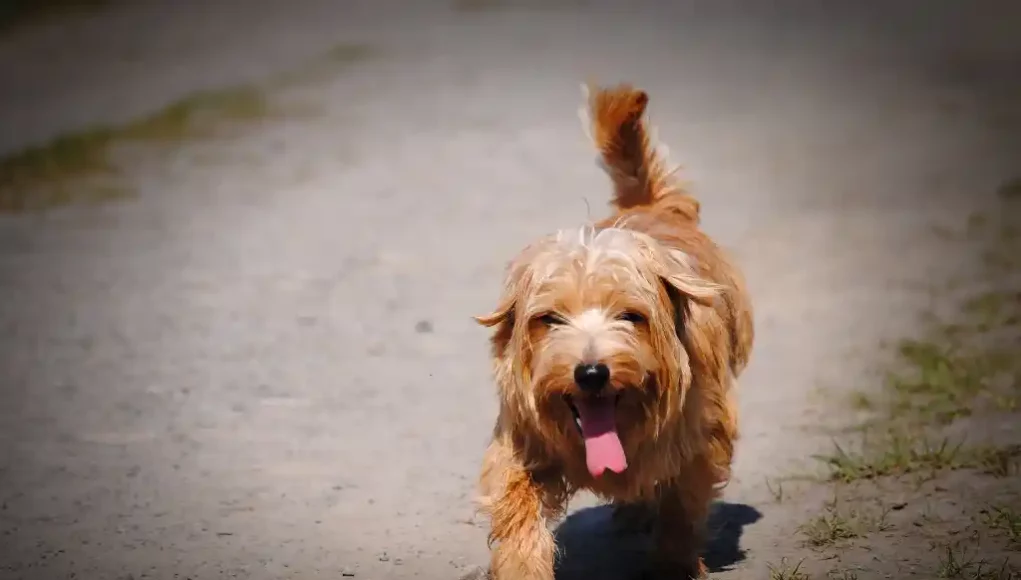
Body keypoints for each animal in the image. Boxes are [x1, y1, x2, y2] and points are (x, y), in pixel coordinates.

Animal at [473, 82, 755, 580]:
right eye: (550, 319)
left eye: (631, 316)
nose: (591, 373)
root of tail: (651, 206)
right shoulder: (523, 442)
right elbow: (517, 508)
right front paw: (523, 565)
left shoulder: (701, 440)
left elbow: (682, 505)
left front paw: (674, 565)